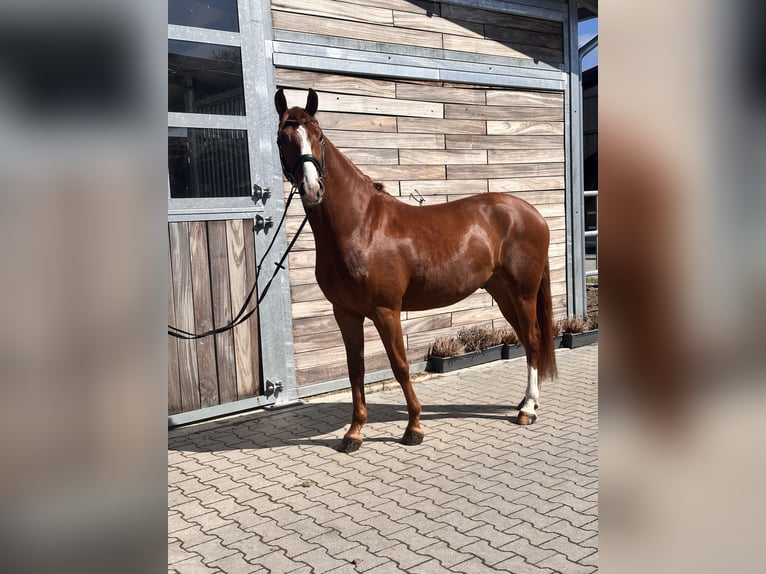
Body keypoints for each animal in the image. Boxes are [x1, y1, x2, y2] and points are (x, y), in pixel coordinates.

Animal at [275, 88, 557, 453]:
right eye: (283, 139)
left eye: (318, 136)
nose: (312, 189)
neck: (360, 226)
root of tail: (533, 214)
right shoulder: (346, 313)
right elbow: (355, 370)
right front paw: (354, 433)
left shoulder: (386, 311)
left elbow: (400, 366)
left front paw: (414, 428)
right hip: (502, 291)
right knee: (525, 338)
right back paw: (525, 403)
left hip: (523, 291)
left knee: (534, 339)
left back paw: (528, 409)